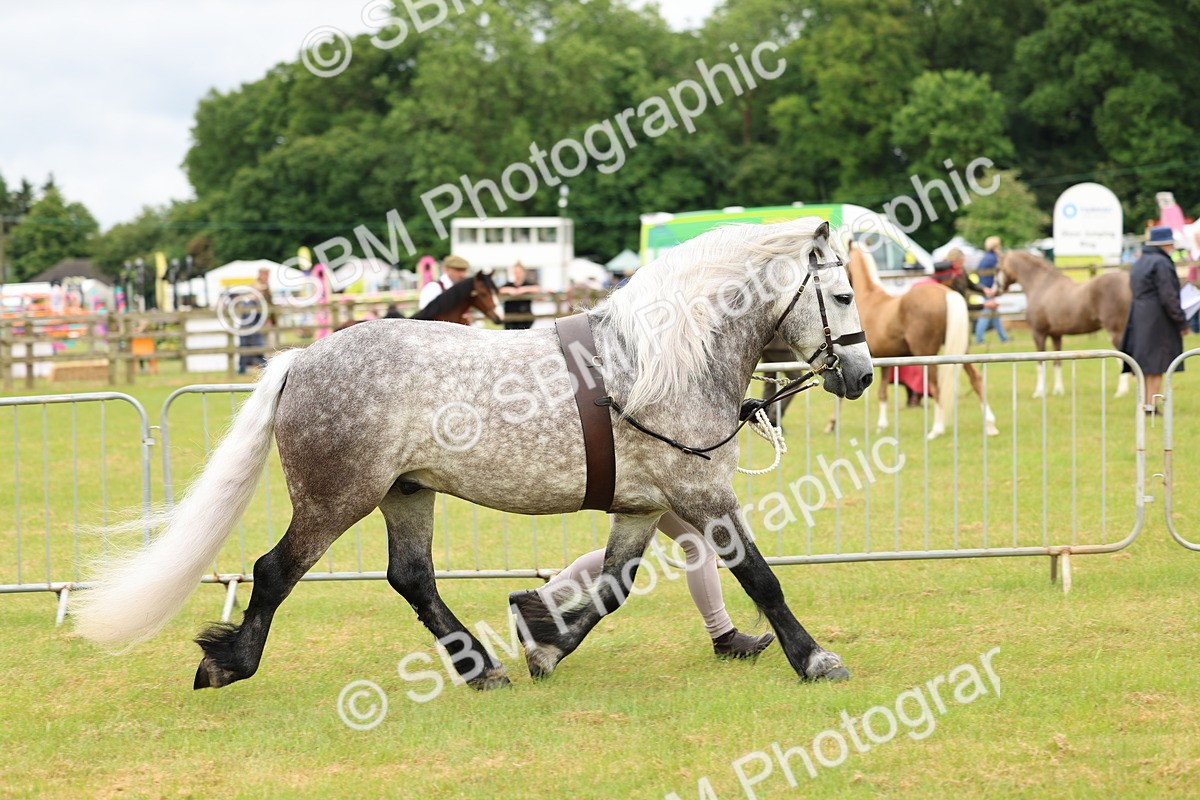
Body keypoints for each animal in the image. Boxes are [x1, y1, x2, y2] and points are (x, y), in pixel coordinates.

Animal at [71, 218, 873, 691]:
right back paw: (227, 663)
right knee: (275, 572)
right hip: (337, 499)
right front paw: (816, 658)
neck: (657, 361)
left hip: (407, 493)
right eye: (839, 293)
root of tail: (303, 357)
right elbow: (762, 579)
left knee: (412, 578)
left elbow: (613, 587)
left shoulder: (644, 506)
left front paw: (544, 643)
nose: (862, 376)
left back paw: (479, 666)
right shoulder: (703, 497)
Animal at [841, 242, 998, 440]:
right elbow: (883, 393)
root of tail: (946, 293)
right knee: (976, 380)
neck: (870, 297)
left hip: (928, 355)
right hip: (963, 351)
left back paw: (936, 429)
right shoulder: (885, 359)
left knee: (937, 387)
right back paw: (990, 425)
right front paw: (881, 426)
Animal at [996, 252, 1132, 398]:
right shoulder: (1056, 335)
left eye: (998, 268)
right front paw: (1058, 391)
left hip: (1116, 333)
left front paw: (1039, 392)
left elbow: (1040, 363)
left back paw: (1121, 391)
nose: (995, 289)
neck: (1042, 286)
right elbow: (1057, 362)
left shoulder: (1039, 334)